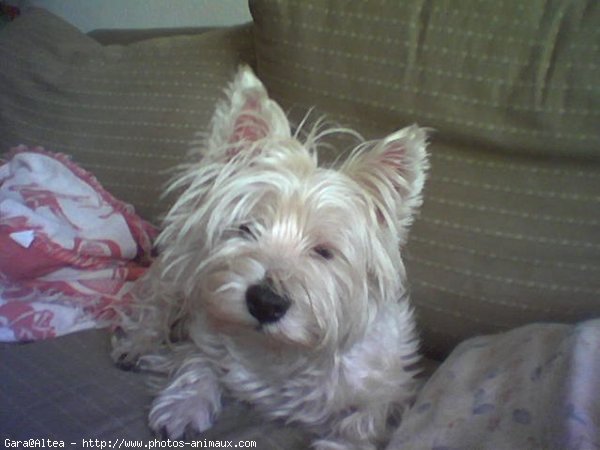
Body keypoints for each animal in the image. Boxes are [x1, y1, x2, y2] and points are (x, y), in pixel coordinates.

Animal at [112, 64, 428, 450]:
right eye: (246, 228)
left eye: (324, 251)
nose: (265, 303)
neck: (279, 351)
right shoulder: (203, 333)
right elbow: (196, 362)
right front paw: (183, 406)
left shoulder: (390, 390)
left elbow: (363, 420)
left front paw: (338, 443)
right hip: (177, 276)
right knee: (154, 302)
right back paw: (134, 344)